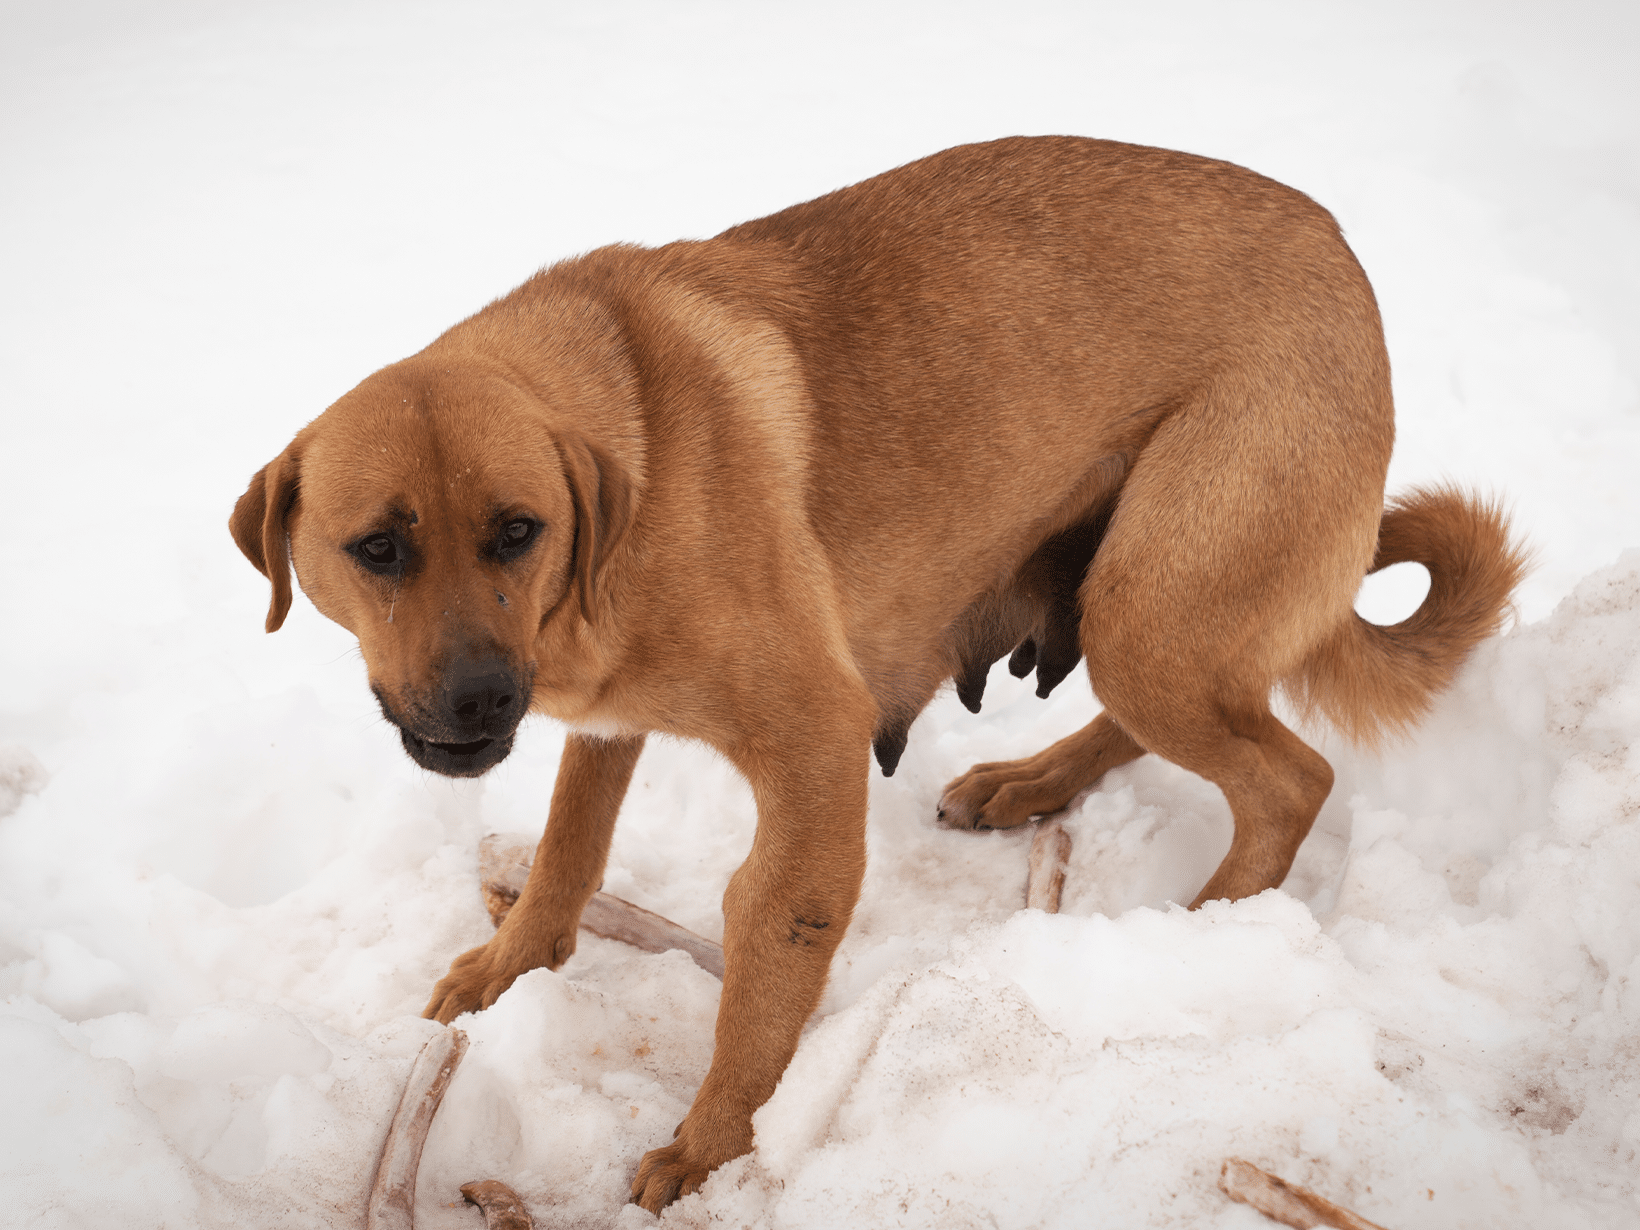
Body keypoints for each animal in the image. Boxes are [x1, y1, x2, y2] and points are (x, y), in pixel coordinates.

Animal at [227, 136, 1521, 1213]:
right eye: (376, 548)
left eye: (515, 531)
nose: (481, 702)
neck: (635, 450)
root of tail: (1342, 253)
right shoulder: (605, 722)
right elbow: (565, 849)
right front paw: (513, 966)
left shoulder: (811, 742)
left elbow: (762, 965)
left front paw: (710, 1152)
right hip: (1139, 606)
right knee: (1197, 728)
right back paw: (1032, 783)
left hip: (1153, 604)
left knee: (1288, 778)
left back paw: (1192, 943)